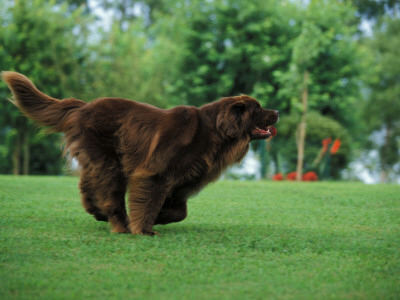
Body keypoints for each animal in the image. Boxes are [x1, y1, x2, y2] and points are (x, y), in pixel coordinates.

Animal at [2, 71, 278, 236]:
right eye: (258, 108)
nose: (276, 112)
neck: (214, 132)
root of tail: (82, 107)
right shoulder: (153, 173)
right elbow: (148, 202)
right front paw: (144, 229)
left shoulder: (182, 181)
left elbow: (180, 211)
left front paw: (161, 217)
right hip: (110, 162)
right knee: (109, 196)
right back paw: (120, 225)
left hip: (101, 159)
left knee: (88, 185)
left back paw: (98, 212)